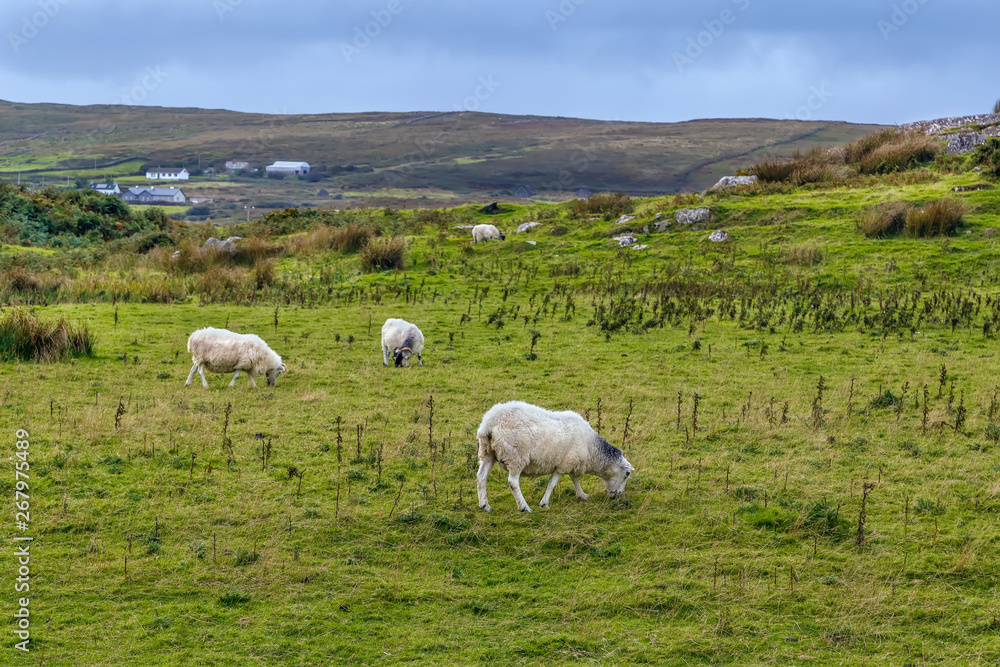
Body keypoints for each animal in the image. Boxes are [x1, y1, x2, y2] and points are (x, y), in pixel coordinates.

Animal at [476, 400, 632, 516]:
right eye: (627, 474)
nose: (617, 496)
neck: (592, 450)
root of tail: (489, 423)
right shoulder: (564, 464)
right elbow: (552, 483)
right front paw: (544, 503)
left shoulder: (572, 462)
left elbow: (574, 479)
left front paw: (581, 495)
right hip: (516, 456)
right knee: (513, 482)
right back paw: (524, 507)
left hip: (488, 452)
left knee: (481, 476)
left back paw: (485, 505)